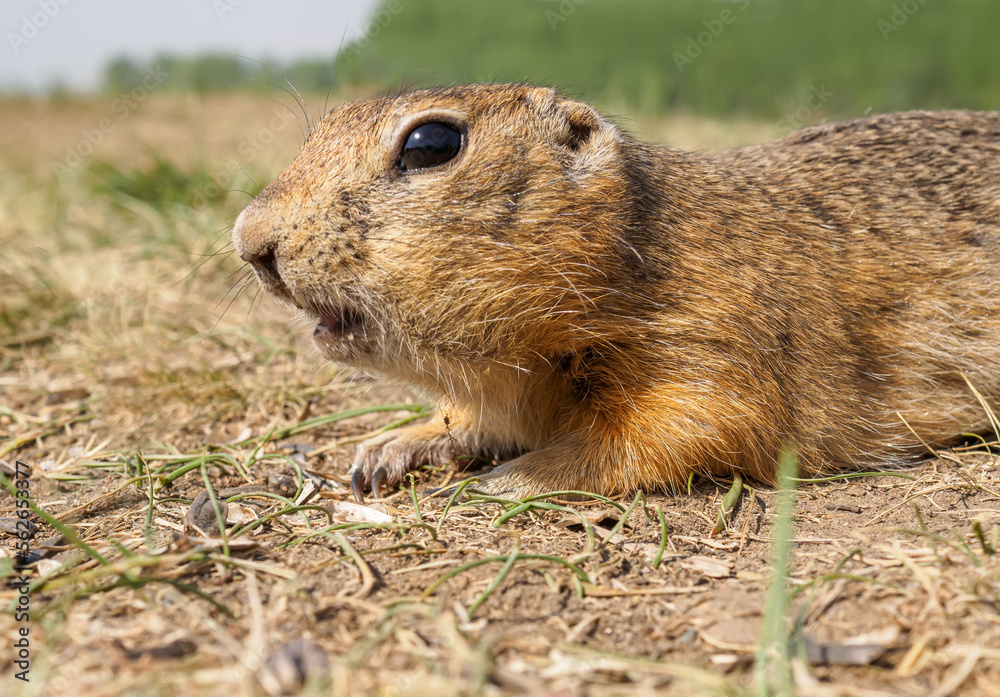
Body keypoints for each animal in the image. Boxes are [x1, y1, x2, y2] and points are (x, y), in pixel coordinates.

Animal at [232, 83, 1000, 500]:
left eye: (430, 143)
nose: (249, 240)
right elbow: (472, 419)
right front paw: (387, 448)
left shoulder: (711, 344)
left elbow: (672, 433)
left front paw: (508, 479)